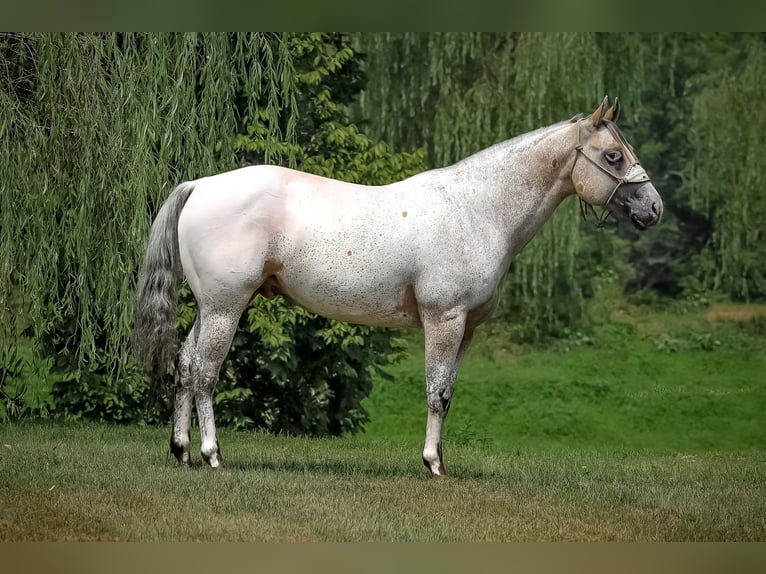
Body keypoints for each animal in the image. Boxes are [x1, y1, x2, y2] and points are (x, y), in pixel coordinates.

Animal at [135, 98, 664, 476]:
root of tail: (202, 184)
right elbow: (436, 390)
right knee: (206, 372)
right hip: (225, 306)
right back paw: (211, 454)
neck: (477, 210)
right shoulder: (443, 319)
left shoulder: (467, 328)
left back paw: (181, 451)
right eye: (614, 155)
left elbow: (448, 391)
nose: (653, 208)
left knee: (186, 365)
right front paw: (433, 465)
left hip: (209, 307)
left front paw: (441, 460)